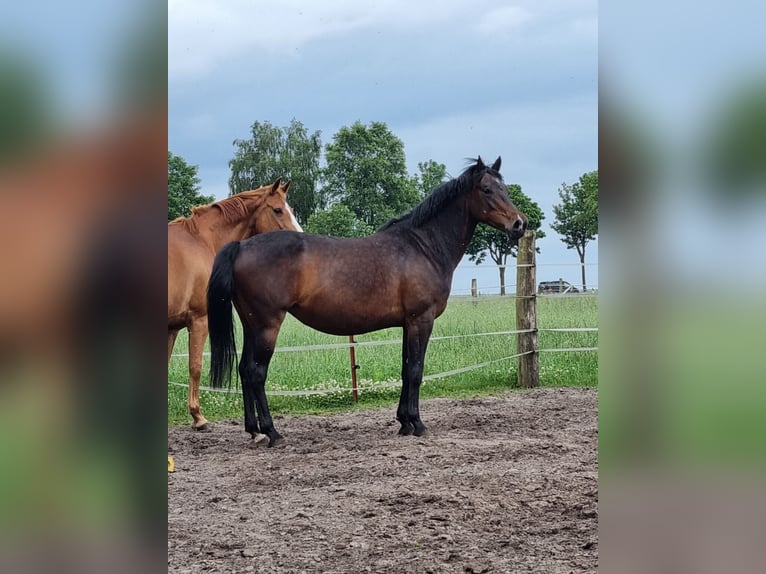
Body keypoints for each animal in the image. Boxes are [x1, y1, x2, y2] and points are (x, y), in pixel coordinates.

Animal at [168, 178, 304, 430]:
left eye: (290, 208)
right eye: (277, 210)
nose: (301, 240)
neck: (202, 240)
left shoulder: (171, 328)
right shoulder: (199, 320)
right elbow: (195, 367)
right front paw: (198, 417)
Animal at [204, 156, 528, 446]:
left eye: (505, 188)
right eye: (486, 189)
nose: (519, 224)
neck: (422, 247)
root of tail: (241, 245)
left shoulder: (407, 324)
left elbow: (405, 368)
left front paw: (404, 422)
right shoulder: (420, 319)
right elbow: (416, 370)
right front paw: (418, 423)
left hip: (252, 325)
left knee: (245, 370)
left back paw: (254, 430)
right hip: (268, 325)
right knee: (256, 373)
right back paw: (272, 433)